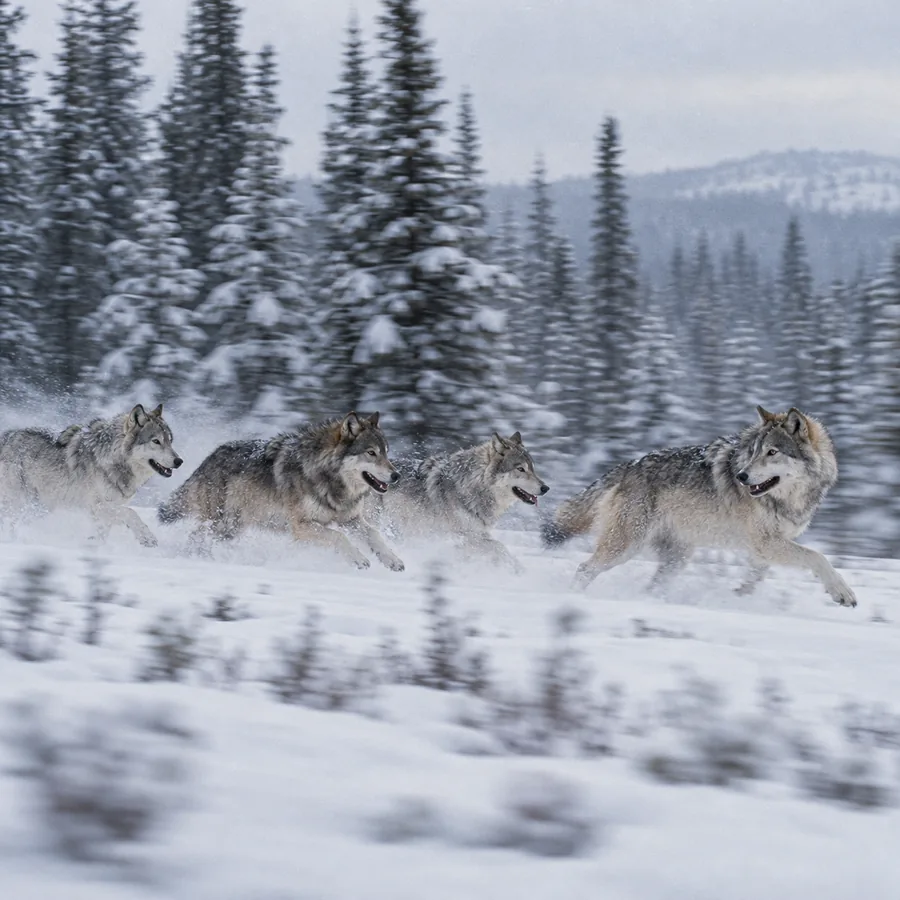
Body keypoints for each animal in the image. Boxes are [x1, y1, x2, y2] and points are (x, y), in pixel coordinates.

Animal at [0, 404, 182, 547]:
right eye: (156, 441)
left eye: (170, 441)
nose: (179, 461)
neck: (112, 458)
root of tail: (6, 437)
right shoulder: (98, 506)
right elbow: (131, 513)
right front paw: (147, 537)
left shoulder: (106, 510)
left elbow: (104, 531)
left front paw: (94, 545)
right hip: (22, 504)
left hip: (37, 507)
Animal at [157, 411, 404, 571]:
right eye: (371, 453)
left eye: (386, 452)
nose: (396, 475)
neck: (328, 477)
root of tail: (208, 458)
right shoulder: (301, 526)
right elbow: (339, 536)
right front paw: (359, 559)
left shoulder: (351, 519)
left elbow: (375, 534)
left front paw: (392, 559)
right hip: (218, 522)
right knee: (195, 538)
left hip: (230, 528)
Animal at [377, 431, 549, 570]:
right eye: (520, 469)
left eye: (532, 469)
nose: (546, 488)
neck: (473, 485)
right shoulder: (466, 535)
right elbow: (501, 548)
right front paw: (519, 571)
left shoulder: (472, 536)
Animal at [542, 407, 856, 607]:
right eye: (754, 452)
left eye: (772, 452)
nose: (741, 476)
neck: (790, 498)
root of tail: (627, 466)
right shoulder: (767, 542)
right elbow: (818, 557)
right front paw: (842, 592)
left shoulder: (765, 547)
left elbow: (759, 574)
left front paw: (739, 594)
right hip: (625, 548)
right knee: (584, 569)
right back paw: (573, 597)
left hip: (676, 559)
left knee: (652, 585)